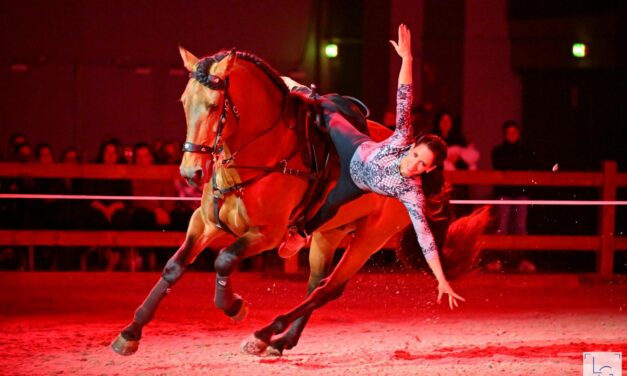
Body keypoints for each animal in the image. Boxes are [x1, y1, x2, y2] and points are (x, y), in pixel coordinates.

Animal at [111, 47, 490, 356]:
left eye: (214, 106)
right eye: (183, 103)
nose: (191, 172)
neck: (262, 153)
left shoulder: (266, 234)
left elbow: (224, 260)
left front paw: (234, 306)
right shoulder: (204, 223)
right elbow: (174, 267)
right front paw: (130, 333)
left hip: (369, 238)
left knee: (328, 289)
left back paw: (264, 335)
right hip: (329, 234)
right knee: (315, 285)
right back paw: (282, 342)